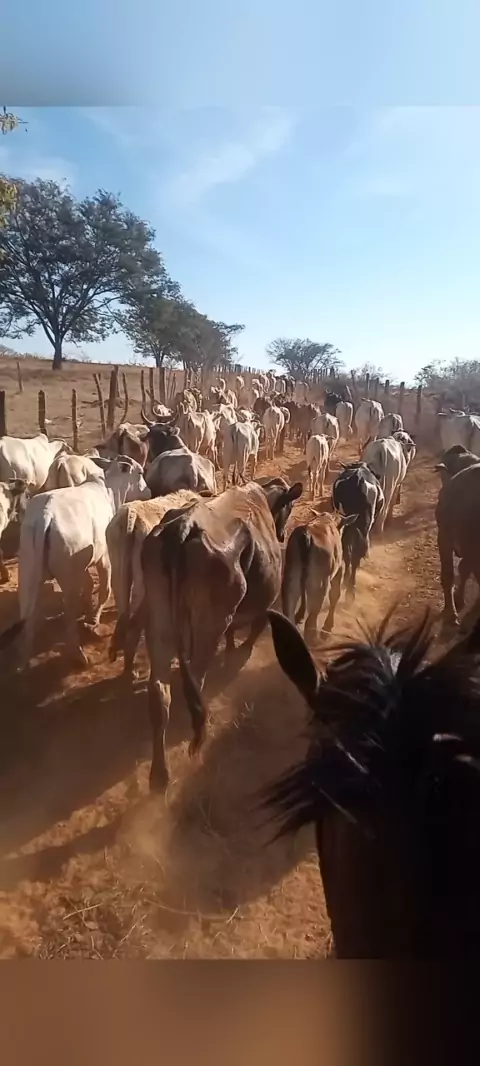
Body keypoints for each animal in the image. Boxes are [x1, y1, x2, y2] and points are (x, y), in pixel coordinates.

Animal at [0, 458, 150, 667]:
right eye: (140, 473)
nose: (149, 491)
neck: (109, 490)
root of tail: (45, 515)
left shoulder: (83, 564)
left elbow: (89, 585)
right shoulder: (104, 558)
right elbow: (104, 589)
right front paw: (93, 620)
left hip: (28, 572)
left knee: (28, 616)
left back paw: (24, 657)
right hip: (68, 578)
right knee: (69, 617)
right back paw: (78, 654)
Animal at [138, 477, 302, 789]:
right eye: (288, 507)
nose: (282, 534)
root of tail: (184, 526)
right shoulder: (264, 602)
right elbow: (253, 631)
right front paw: (238, 655)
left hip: (158, 626)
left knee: (159, 694)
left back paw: (159, 775)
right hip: (207, 627)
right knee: (194, 683)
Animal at [332, 462, 385, 599]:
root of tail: (358, 478)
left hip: (350, 523)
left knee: (348, 551)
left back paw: (347, 584)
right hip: (362, 526)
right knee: (355, 553)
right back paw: (350, 590)